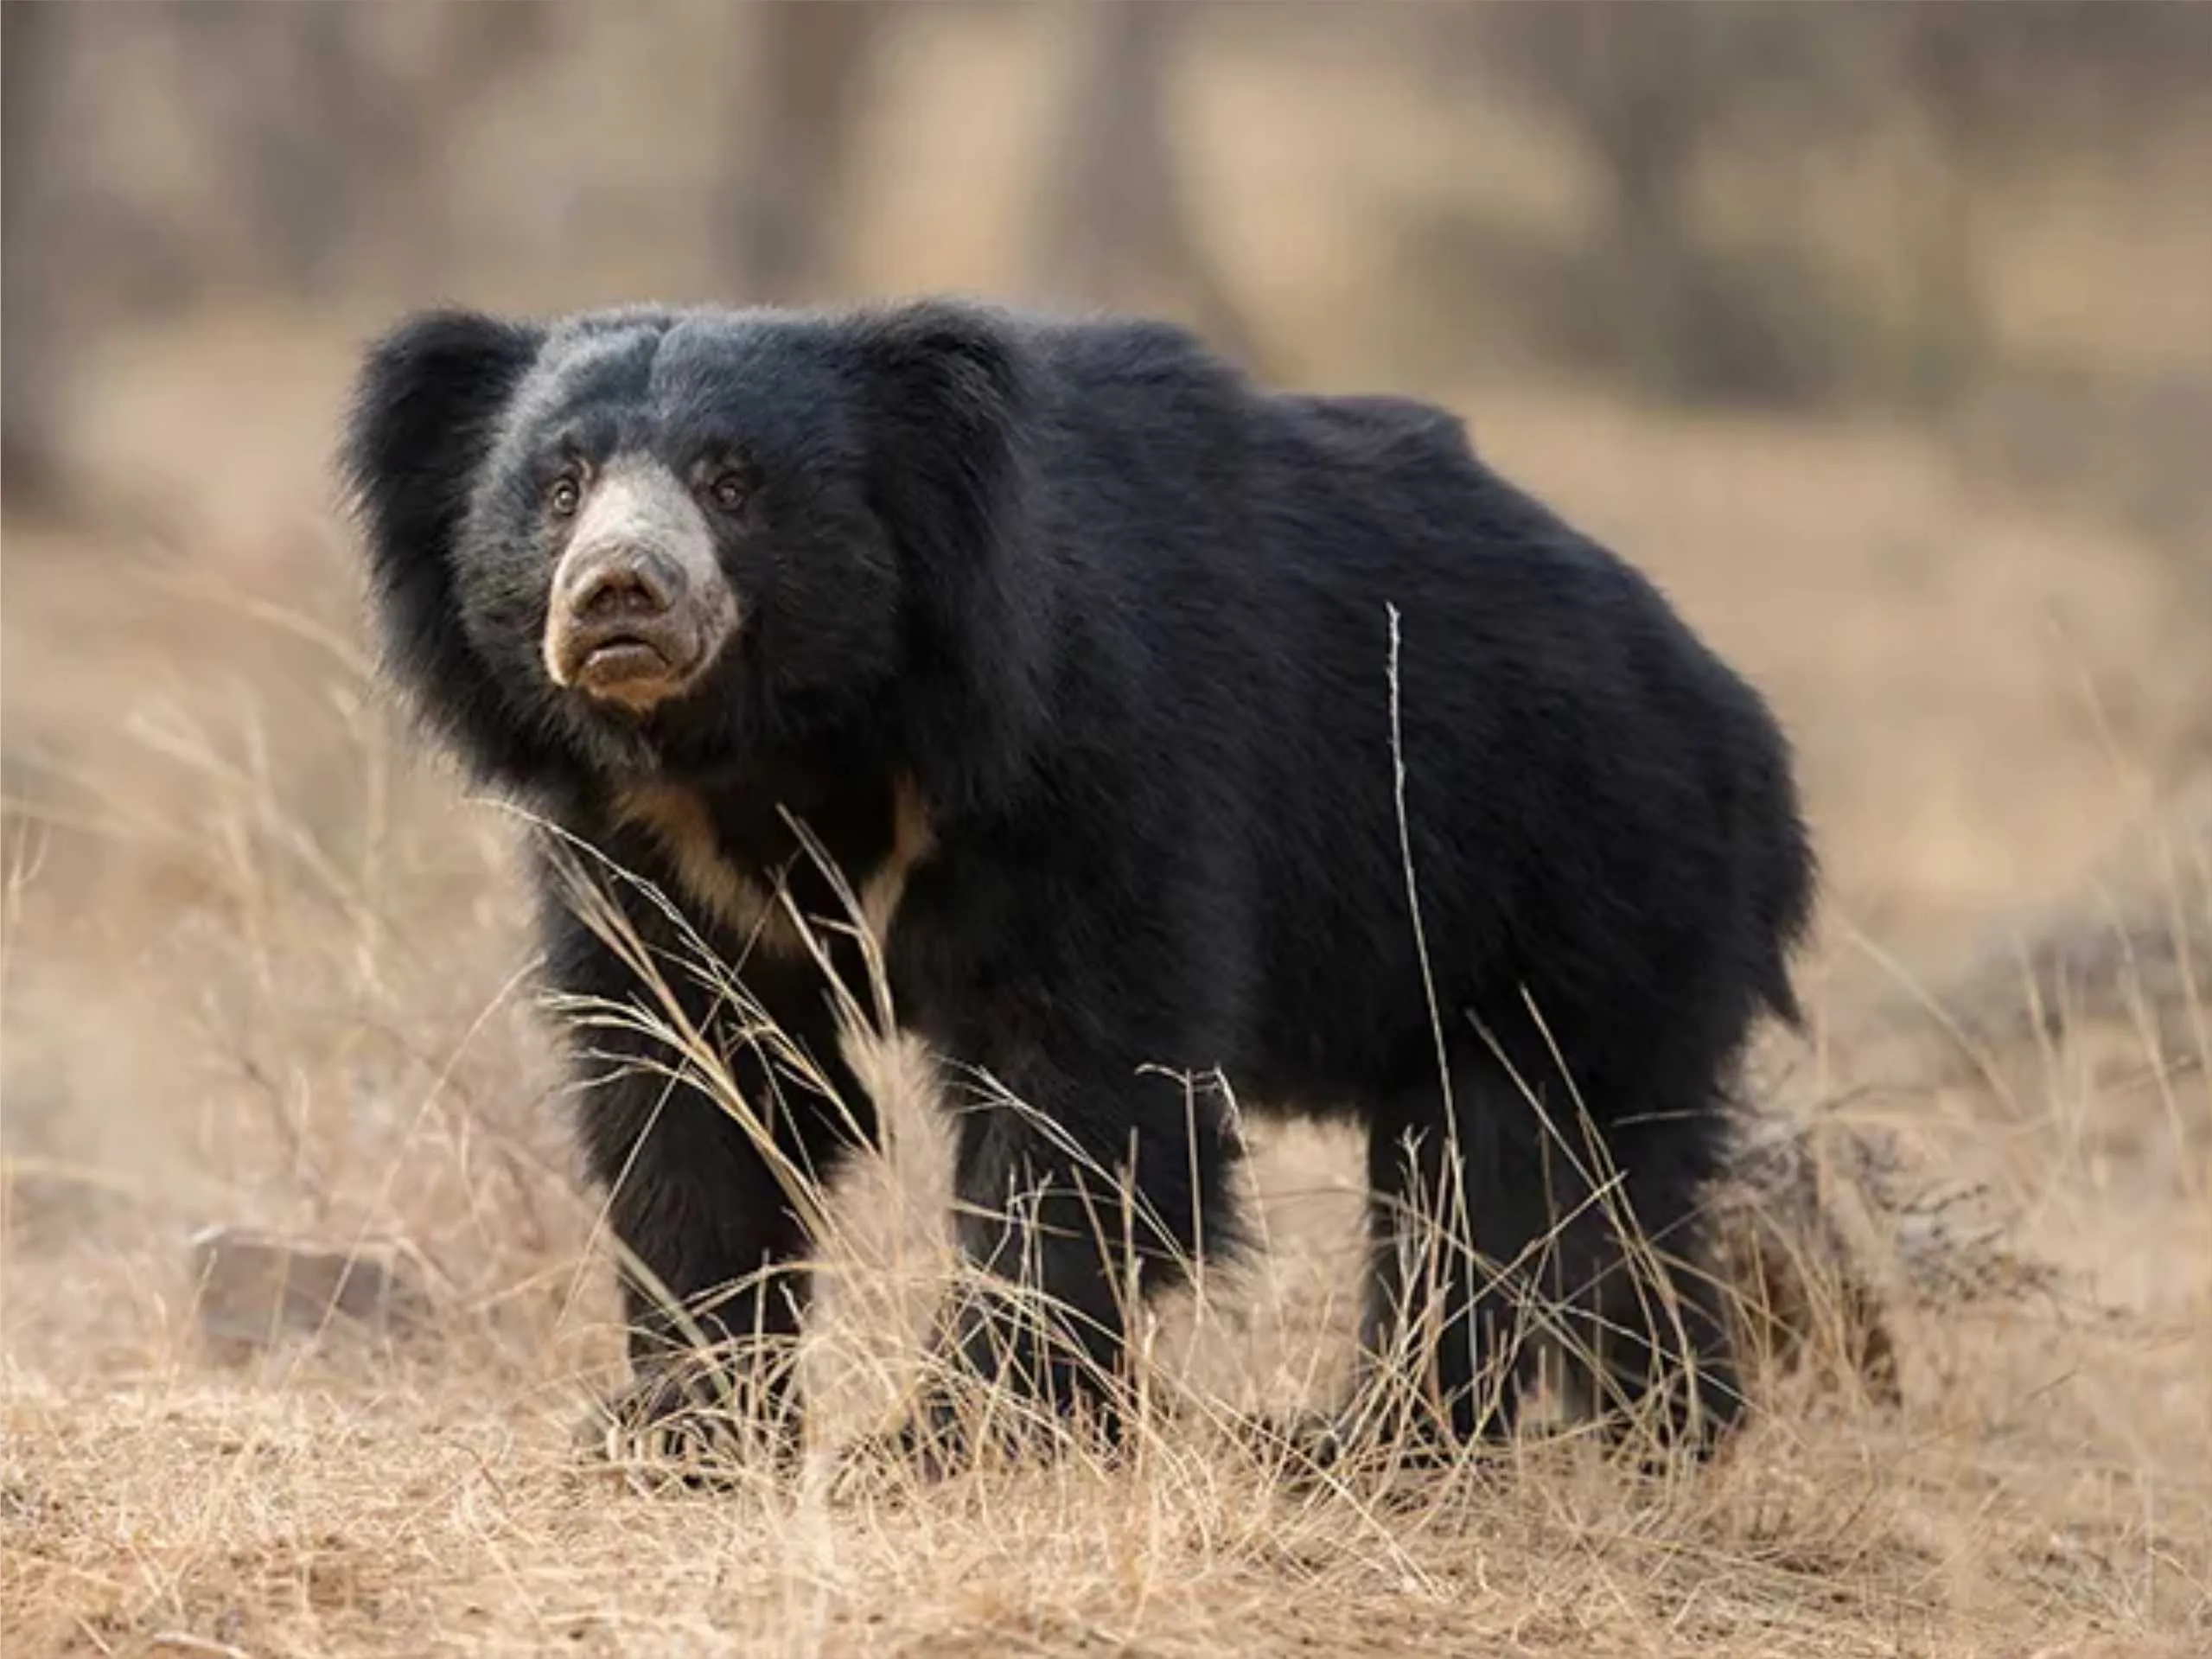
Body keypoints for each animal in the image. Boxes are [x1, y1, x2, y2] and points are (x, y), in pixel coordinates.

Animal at [341, 296, 1814, 1468]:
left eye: (732, 481)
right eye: (559, 484)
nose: (618, 596)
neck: (789, 743)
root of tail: (1738, 726)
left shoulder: (1092, 758)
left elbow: (1084, 1094)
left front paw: (952, 1438)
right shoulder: (648, 854)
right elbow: (694, 1089)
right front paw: (675, 1427)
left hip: (1574, 883)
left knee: (1506, 1174)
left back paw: (1375, 1439)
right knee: (1598, 1193)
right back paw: (1663, 1423)